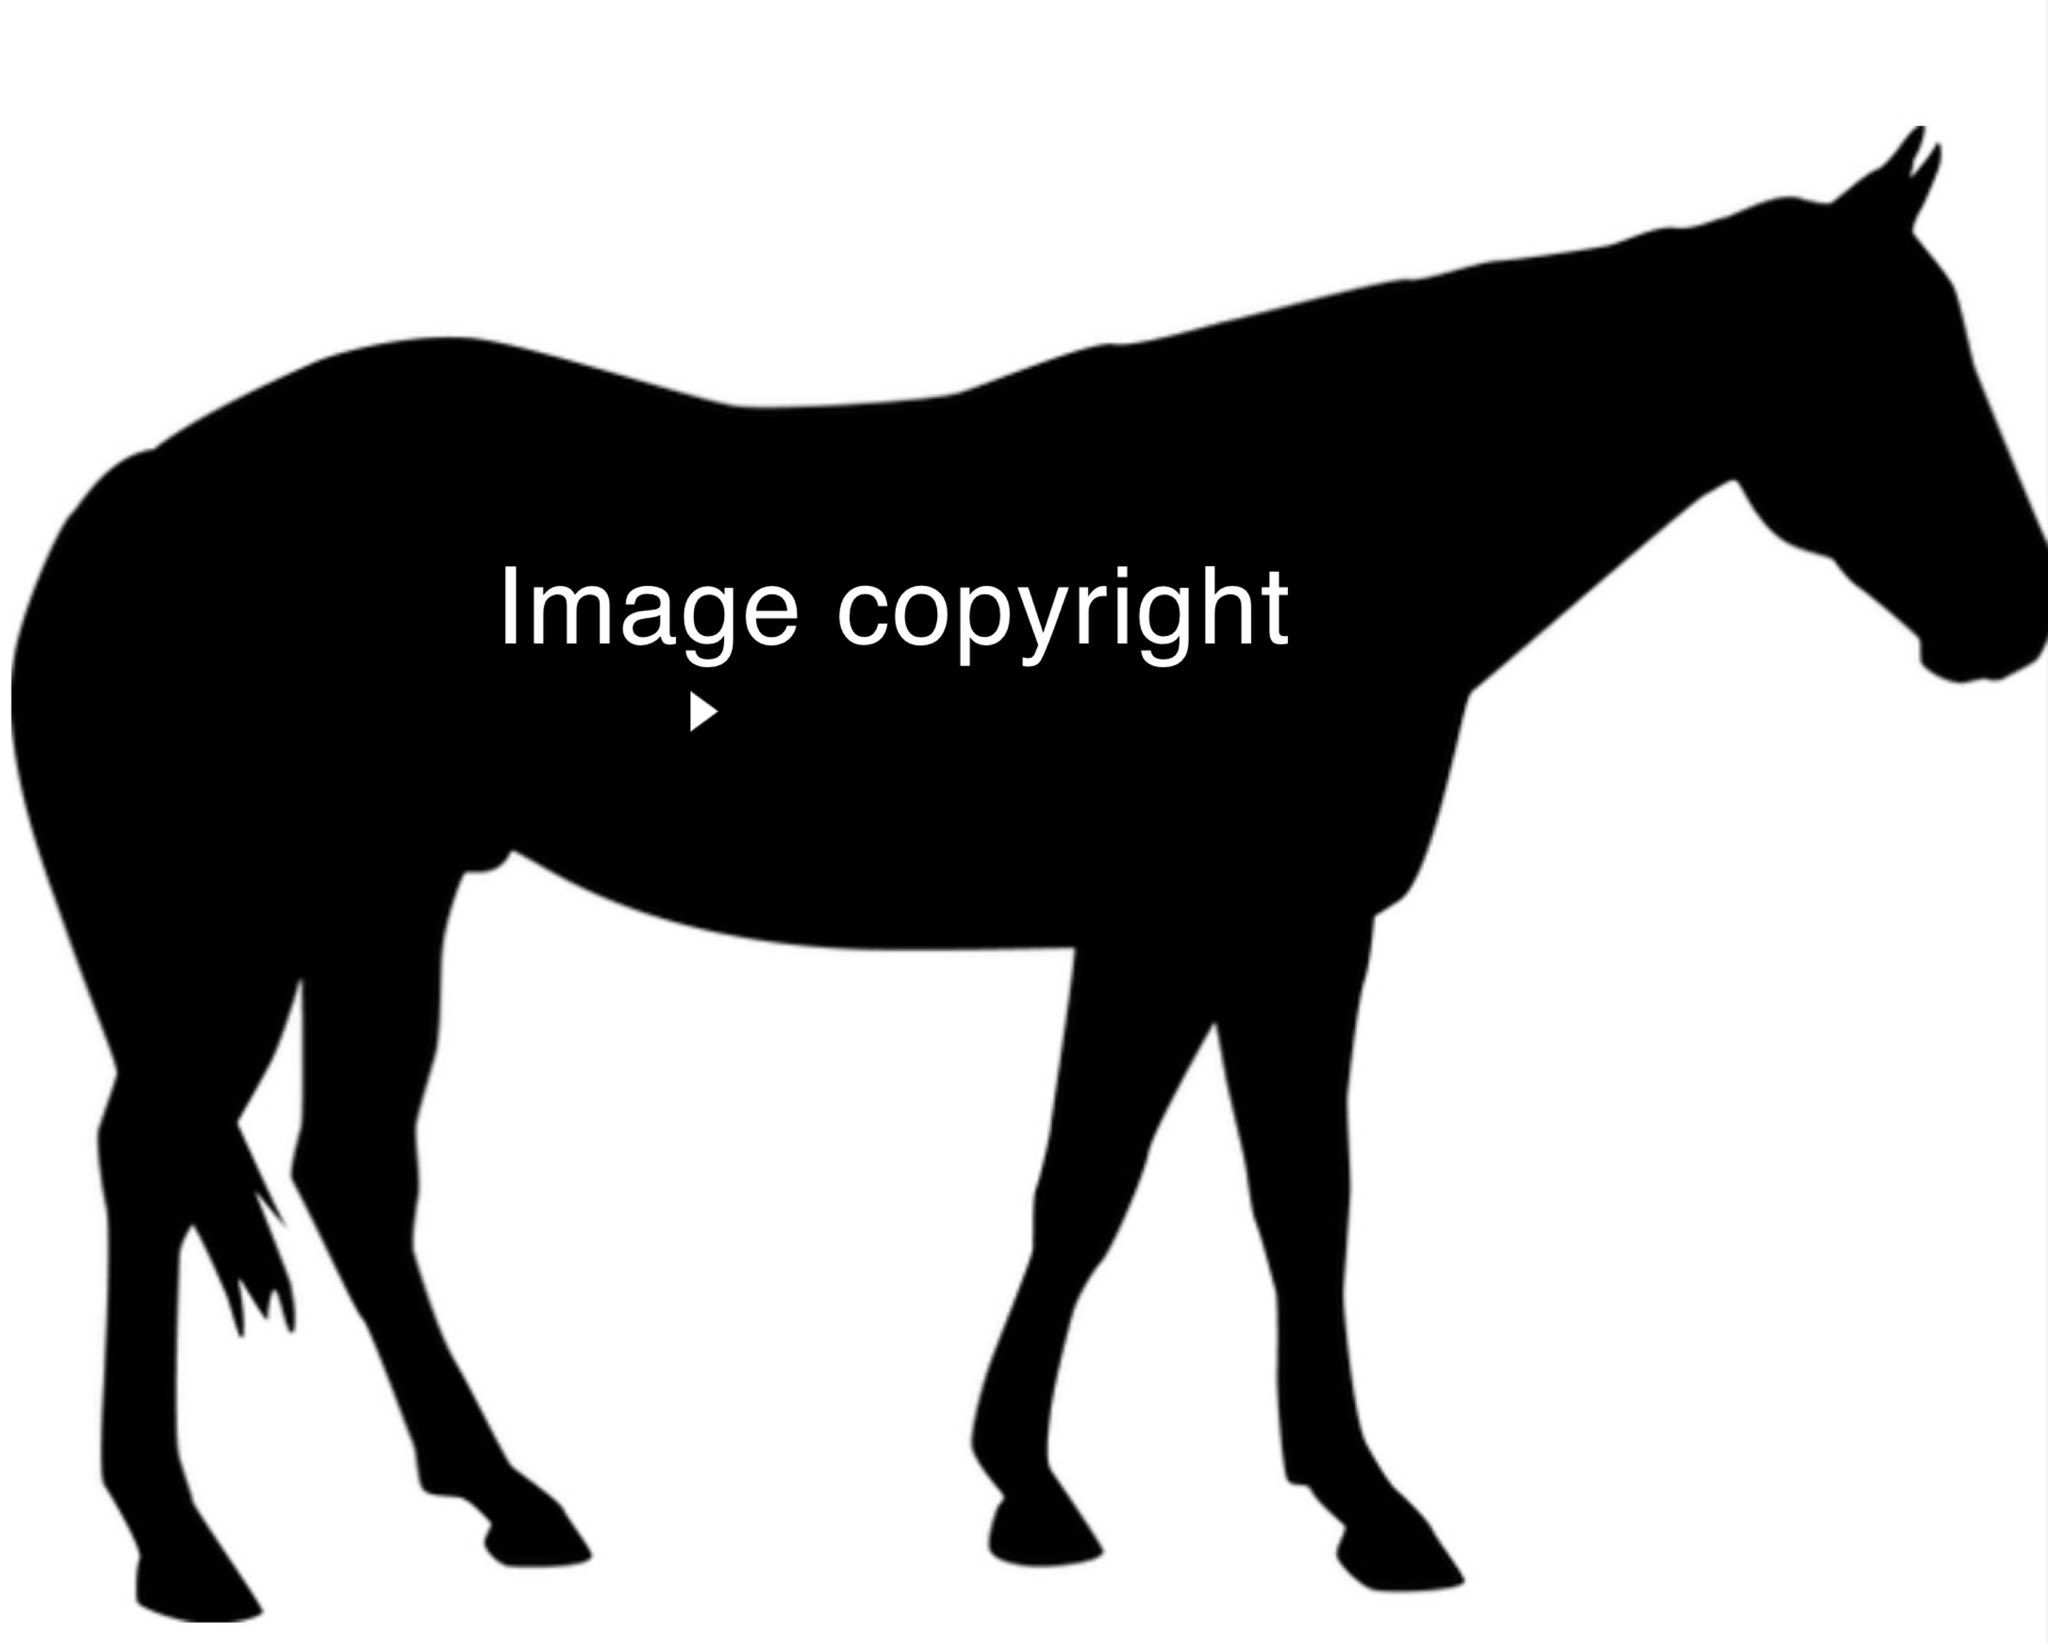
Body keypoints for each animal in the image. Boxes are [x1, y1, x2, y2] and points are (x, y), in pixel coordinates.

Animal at [13, 129, 2045, 1621]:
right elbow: (1232, 1193)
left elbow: (1153, 1188)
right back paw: (183, 1546)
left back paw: (503, 1494)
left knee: (351, 1168)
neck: (1331, 513)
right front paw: (1326, 1507)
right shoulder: (1243, 922)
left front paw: (1078, 1484)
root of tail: (145, 482)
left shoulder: (1201, 928)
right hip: (257, 902)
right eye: (1883, 368)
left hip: (381, 886)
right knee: (157, 1154)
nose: (2011, 619)